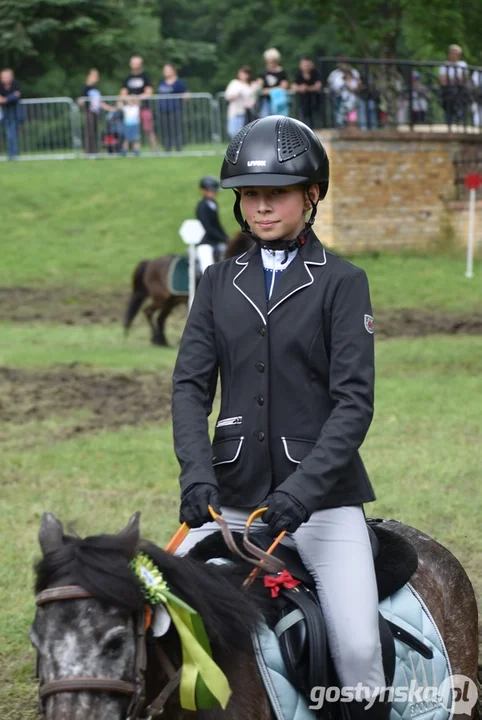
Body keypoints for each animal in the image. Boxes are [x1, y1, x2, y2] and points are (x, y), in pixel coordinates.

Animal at [122, 233, 254, 346]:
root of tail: (150, 262)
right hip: (161, 299)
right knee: (148, 312)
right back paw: (156, 339)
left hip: (170, 302)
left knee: (160, 318)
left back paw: (162, 341)